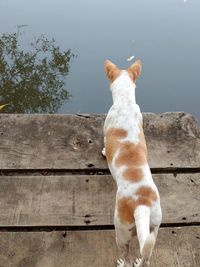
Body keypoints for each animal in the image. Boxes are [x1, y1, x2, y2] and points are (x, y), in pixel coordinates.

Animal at [102, 60, 162, 267]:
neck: (124, 102)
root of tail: (141, 204)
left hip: (121, 232)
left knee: (126, 254)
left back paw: (123, 263)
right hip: (154, 228)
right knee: (146, 256)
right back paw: (139, 261)